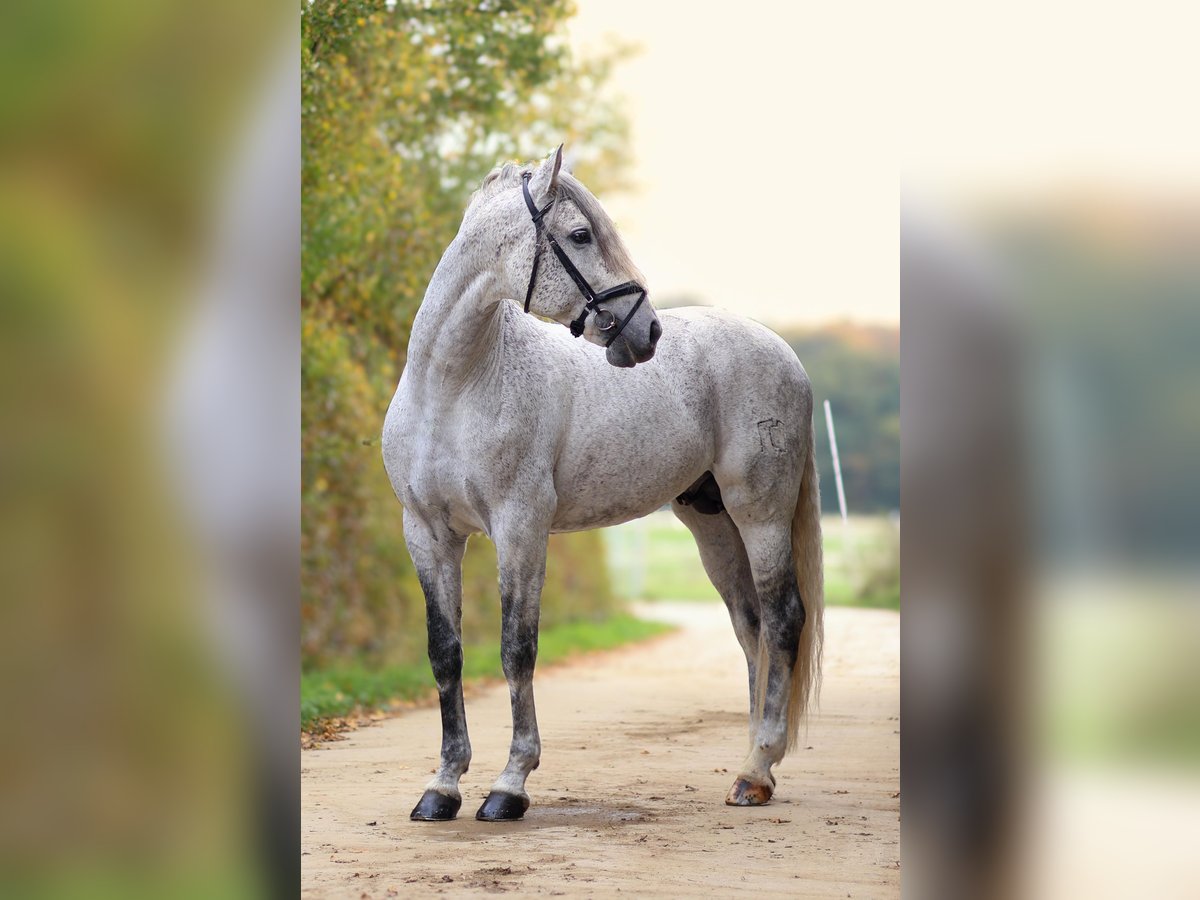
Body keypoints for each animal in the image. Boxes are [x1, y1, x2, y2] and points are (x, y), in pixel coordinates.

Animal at [384, 146, 825, 825]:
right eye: (580, 236)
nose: (647, 334)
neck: (453, 387)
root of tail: (783, 351)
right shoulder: (428, 534)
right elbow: (445, 652)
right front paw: (443, 787)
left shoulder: (519, 527)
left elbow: (517, 649)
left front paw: (509, 785)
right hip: (712, 523)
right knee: (750, 628)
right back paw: (755, 764)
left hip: (762, 514)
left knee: (782, 621)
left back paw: (756, 773)